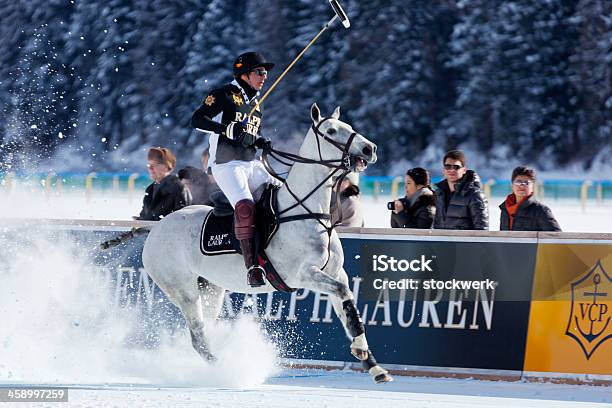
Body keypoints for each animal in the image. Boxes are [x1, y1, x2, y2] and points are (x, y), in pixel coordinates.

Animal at [142, 103, 392, 382]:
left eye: (348, 126)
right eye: (331, 130)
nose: (370, 149)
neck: (308, 210)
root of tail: (154, 229)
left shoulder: (337, 272)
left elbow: (348, 306)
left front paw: (373, 364)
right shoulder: (302, 274)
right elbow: (342, 292)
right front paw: (362, 351)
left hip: (210, 288)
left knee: (204, 329)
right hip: (183, 291)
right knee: (197, 337)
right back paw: (227, 370)